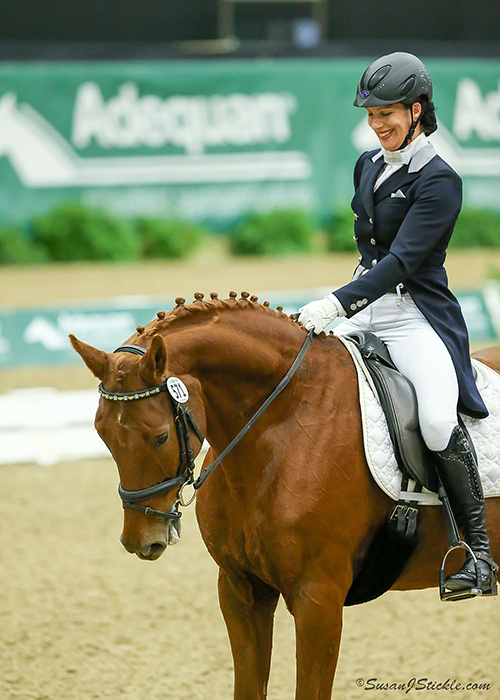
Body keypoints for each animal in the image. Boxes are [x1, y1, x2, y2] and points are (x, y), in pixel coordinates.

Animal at [70, 292, 500, 696]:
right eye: (101, 433)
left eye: (160, 436)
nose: (140, 540)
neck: (286, 420)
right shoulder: (240, 589)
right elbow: (248, 686)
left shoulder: (318, 599)